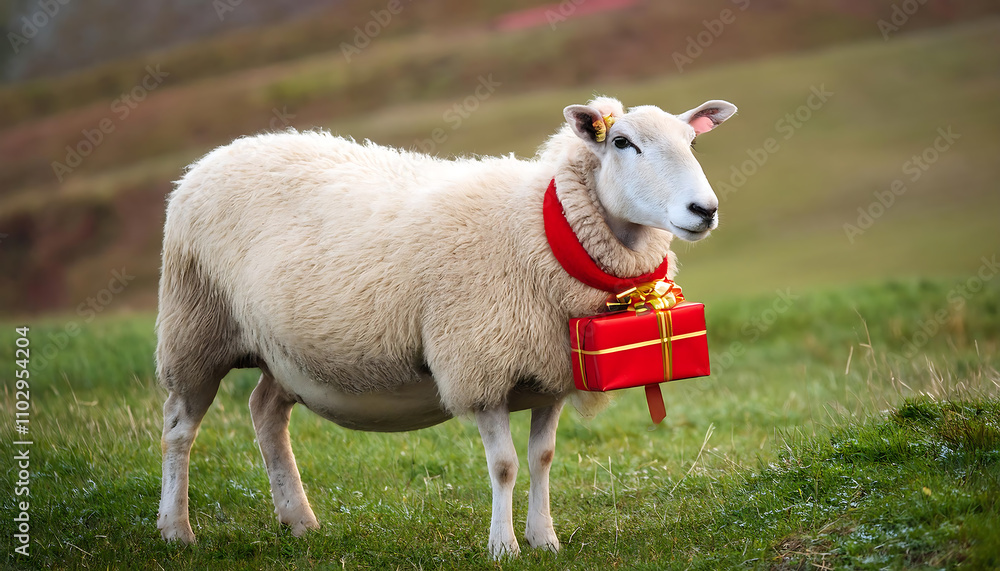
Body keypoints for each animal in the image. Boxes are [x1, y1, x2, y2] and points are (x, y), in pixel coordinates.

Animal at [155, 95, 736, 558]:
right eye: (622, 142)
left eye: (691, 141)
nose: (704, 210)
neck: (542, 229)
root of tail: (213, 157)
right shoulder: (481, 368)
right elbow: (504, 465)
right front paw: (503, 547)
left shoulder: (550, 371)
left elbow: (542, 458)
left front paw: (544, 538)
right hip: (194, 326)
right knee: (179, 429)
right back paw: (176, 530)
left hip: (282, 351)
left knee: (266, 413)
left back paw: (299, 521)